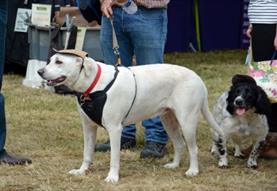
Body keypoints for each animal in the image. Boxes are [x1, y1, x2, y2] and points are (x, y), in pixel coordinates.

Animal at [36, 48, 223, 182]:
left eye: (59, 61)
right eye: (50, 61)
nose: (39, 71)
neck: (93, 86)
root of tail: (197, 77)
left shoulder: (115, 130)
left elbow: (114, 157)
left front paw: (112, 177)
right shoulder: (88, 128)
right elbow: (87, 153)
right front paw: (82, 171)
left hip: (187, 122)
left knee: (193, 148)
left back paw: (193, 171)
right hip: (168, 119)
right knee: (179, 143)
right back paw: (174, 165)